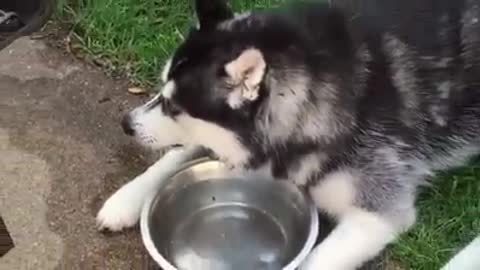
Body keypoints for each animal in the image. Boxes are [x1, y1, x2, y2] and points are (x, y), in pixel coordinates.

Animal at [96, 1, 480, 268]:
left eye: (175, 108)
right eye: (162, 92)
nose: (126, 123)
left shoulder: (378, 214)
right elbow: (176, 154)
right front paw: (127, 198)